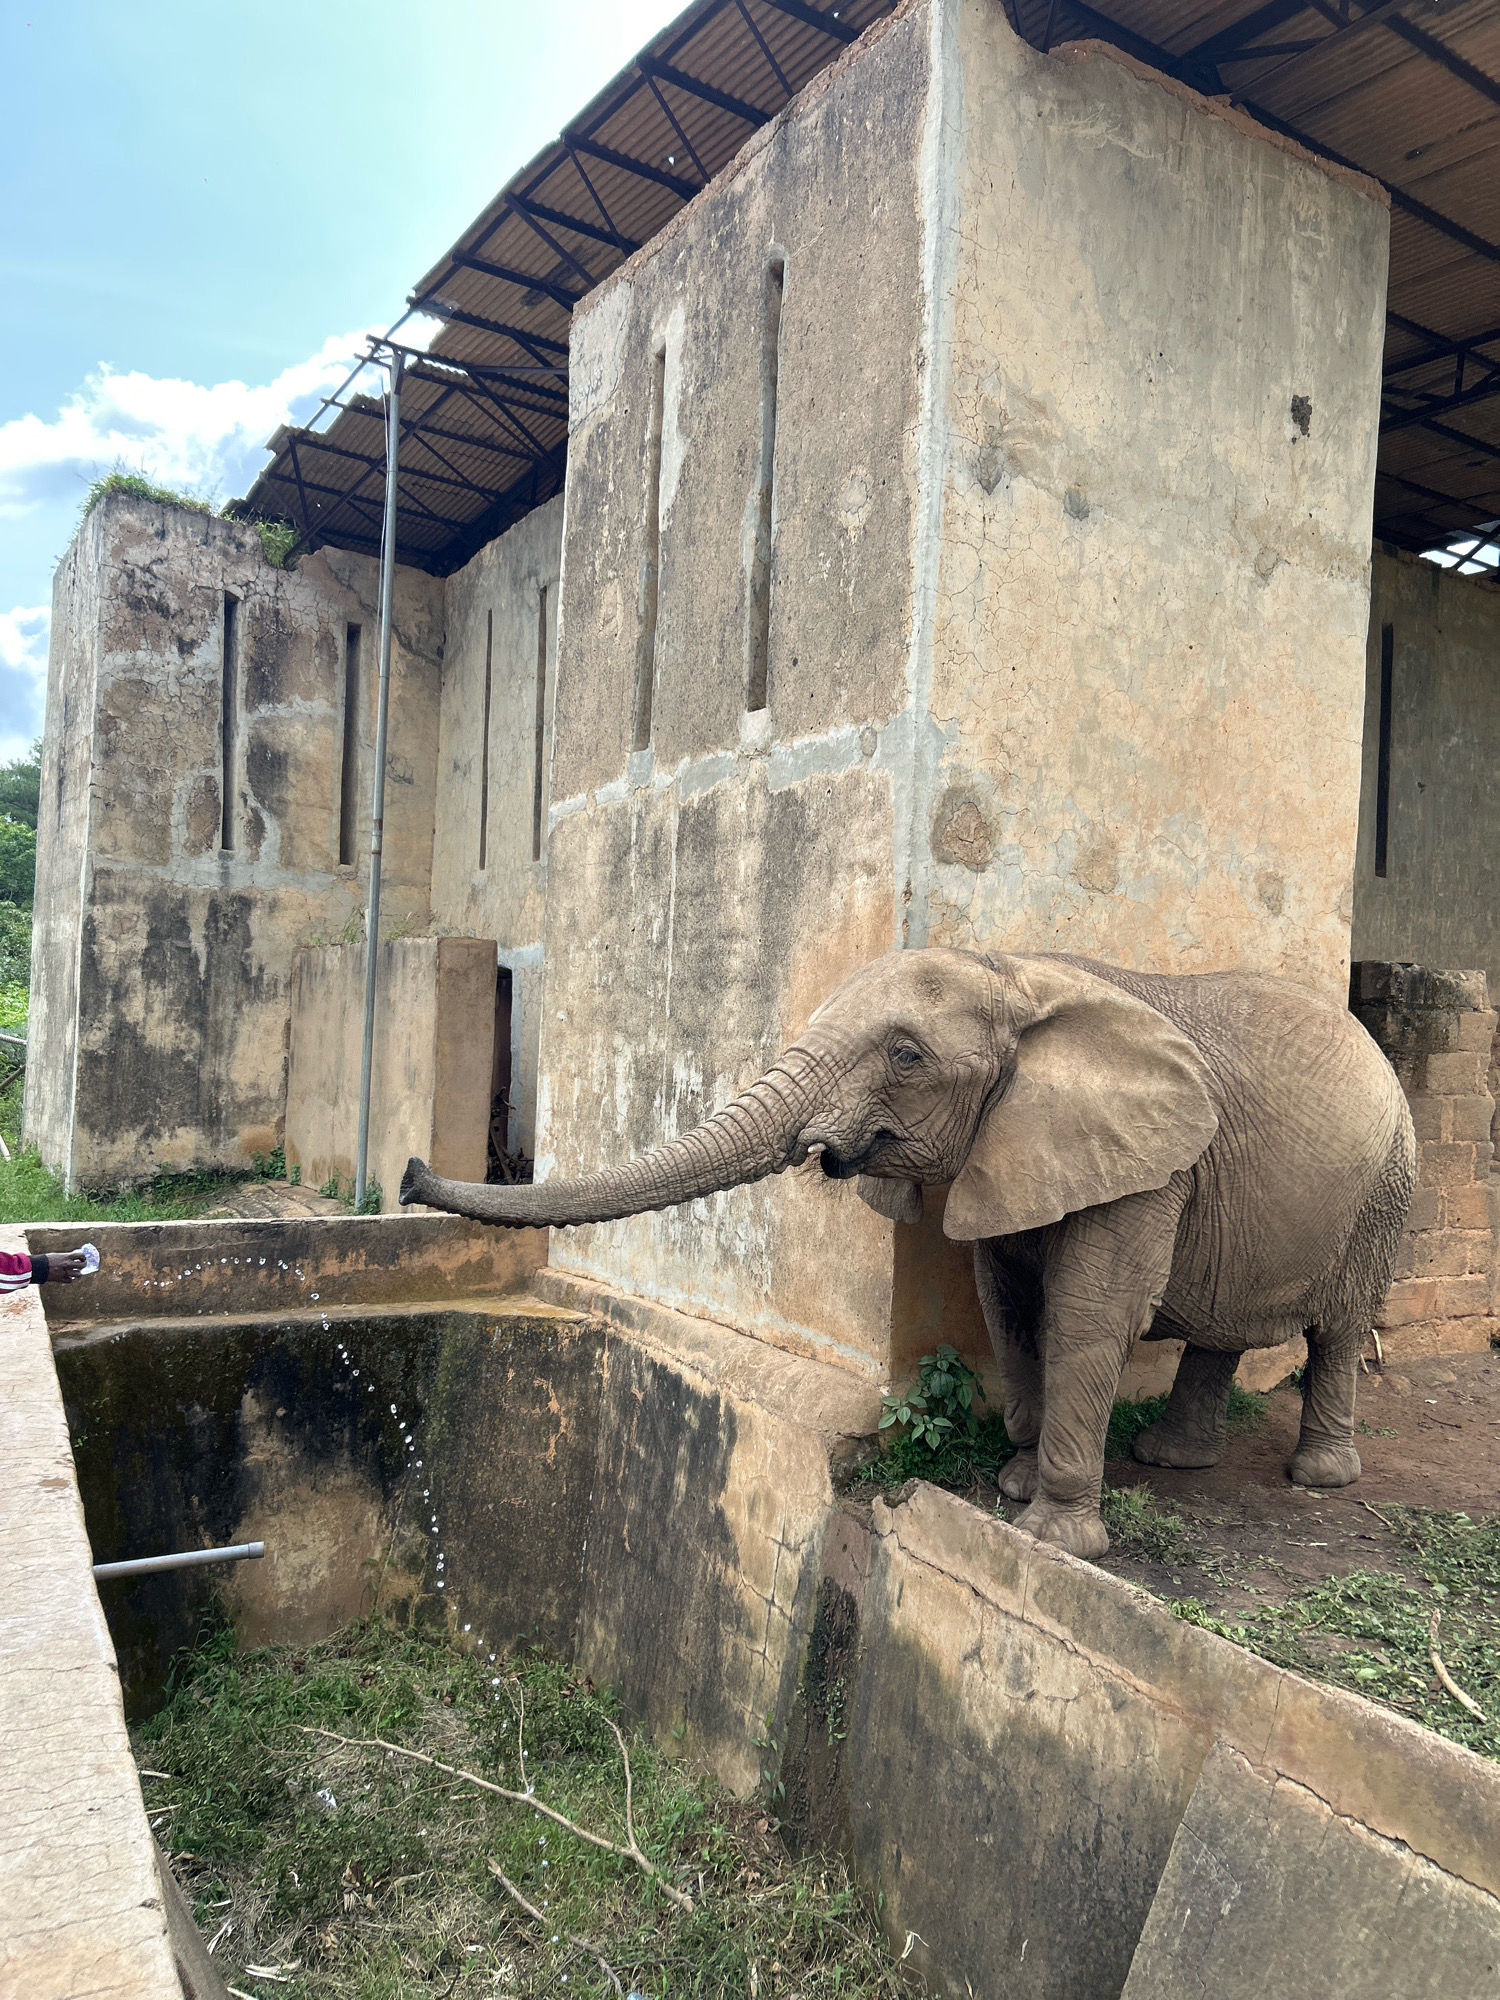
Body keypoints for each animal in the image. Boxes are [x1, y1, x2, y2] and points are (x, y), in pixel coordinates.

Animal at [401, 948, 1415, 1557]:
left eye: (906, 1056)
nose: (409, 1174)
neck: (1019, 975)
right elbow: (1009, 1302)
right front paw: (1012, 1484)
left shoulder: (1148, 1169)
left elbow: (1087, 1314)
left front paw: (1051, 1537)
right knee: (1224, 1327)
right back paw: (1174, 1461)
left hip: (1384, 1190)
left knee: (1336, 1330)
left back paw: (1317, 1477)